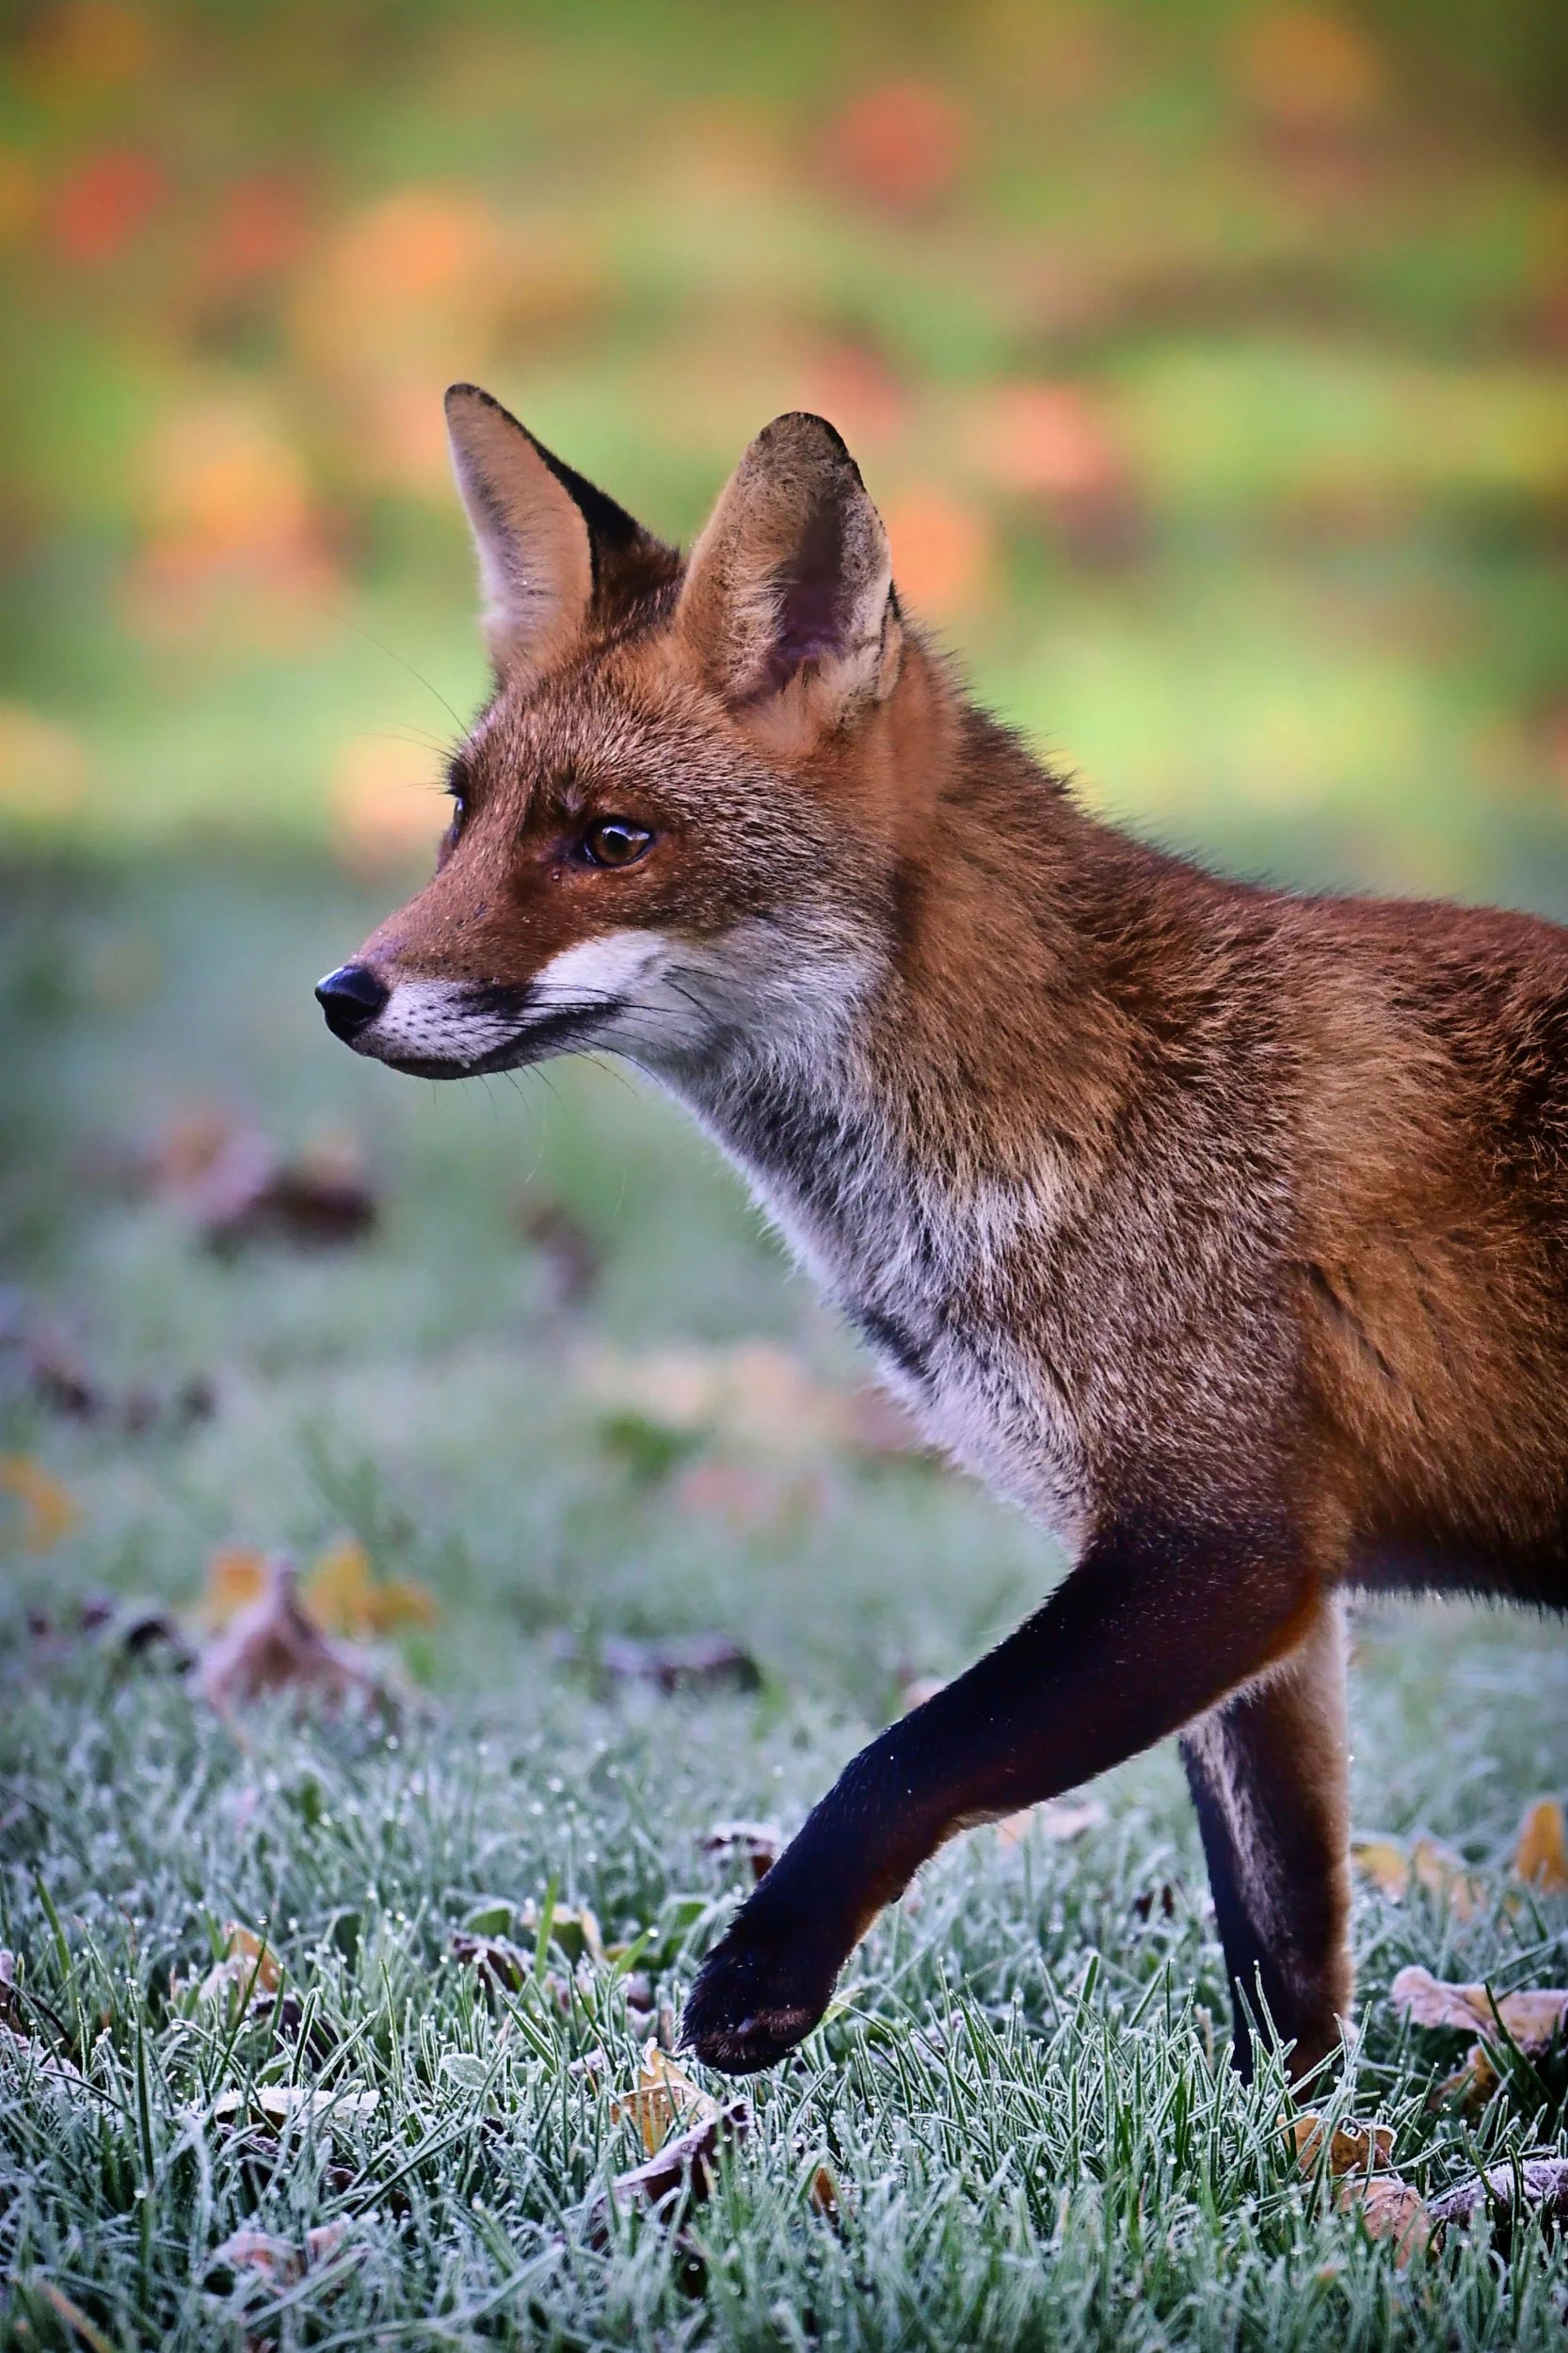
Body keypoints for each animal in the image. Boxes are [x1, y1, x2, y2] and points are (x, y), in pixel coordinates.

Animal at [317, 382, 1568, 2083]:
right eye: (464, 815)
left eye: (610, 839)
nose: (344, 994)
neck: (1099, 1098)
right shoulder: (1276, 1628)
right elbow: (1282, 1965)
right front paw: (1297, 2147)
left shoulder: (1219, 1552)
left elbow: (903, 1757)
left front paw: (757, 1976)